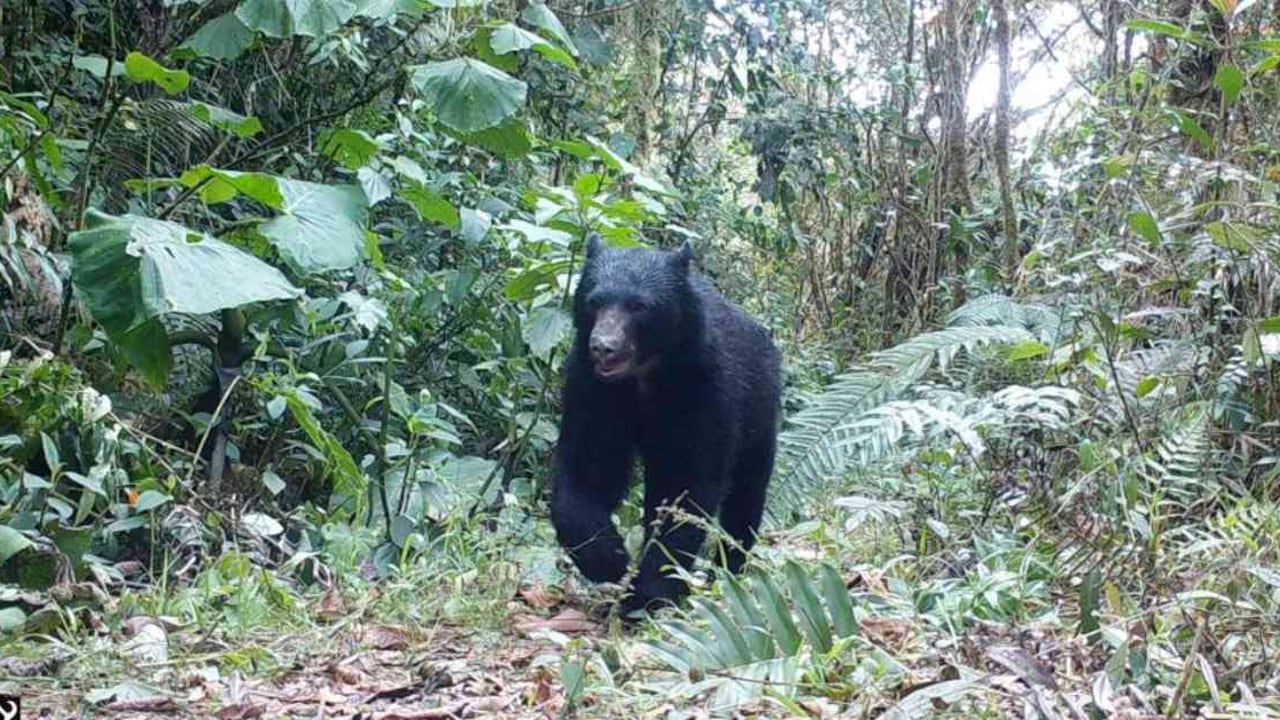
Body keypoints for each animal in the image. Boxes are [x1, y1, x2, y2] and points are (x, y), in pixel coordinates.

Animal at [550, 234, 782, 614]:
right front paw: (613, 561)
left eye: (639, 306)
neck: (645, 375)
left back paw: (729, 569)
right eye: (594, 301)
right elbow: (589, 471)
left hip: (760, 413)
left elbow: (688, 484)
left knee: (747, 492)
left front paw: (653, 589)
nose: (603, 347)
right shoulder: (593, 388)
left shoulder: (706, 389)